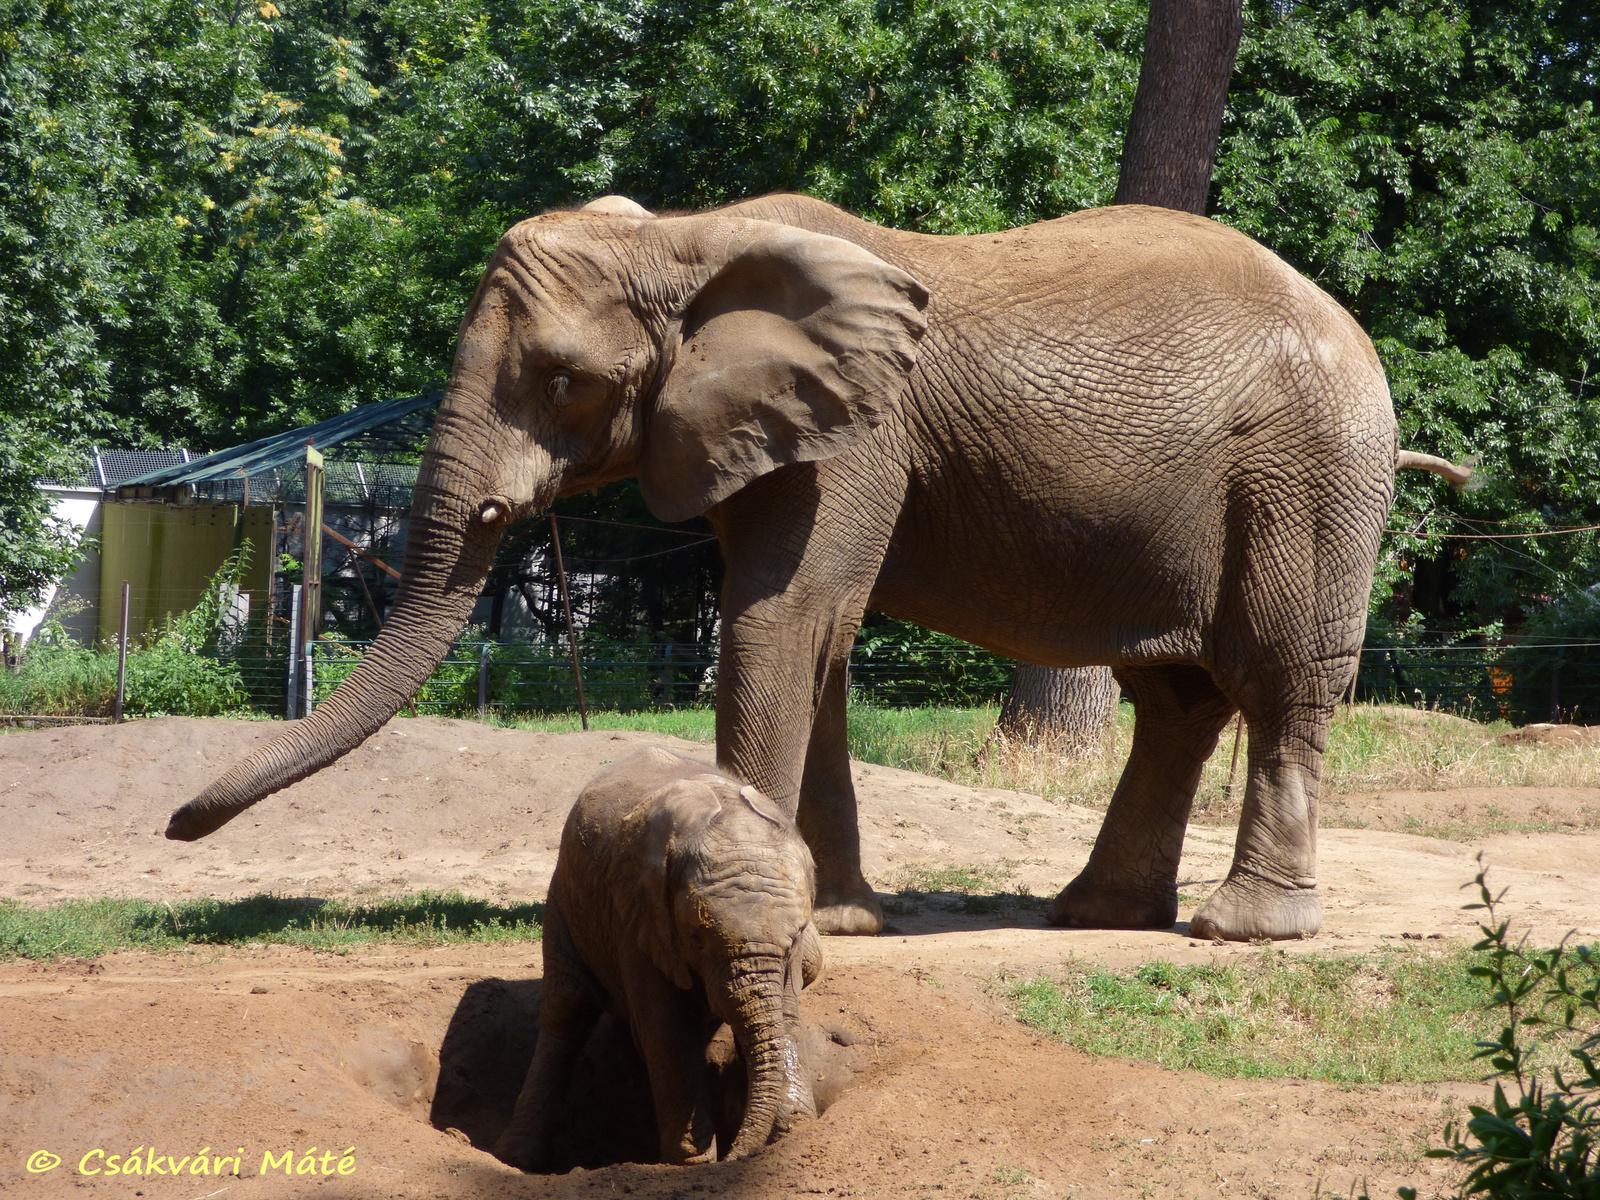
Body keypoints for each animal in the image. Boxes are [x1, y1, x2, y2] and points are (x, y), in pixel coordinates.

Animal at [168, 192, 1446, 947]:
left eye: (565, 381)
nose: (178, 827)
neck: (687, 237)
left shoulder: (858, 438)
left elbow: (781, 621)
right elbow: (813, 636)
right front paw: (836, 922)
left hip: (1307, 475)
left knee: (1276, 679)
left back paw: (1242, 932)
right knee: (1175, 699)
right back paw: (1094, 915)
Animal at [496, 748, 825, 1171]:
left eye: (795, 938)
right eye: (697, 939)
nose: (735, 1158)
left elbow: (784, 1014)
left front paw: (794, 1131)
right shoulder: (638, 917)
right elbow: (666, 1028)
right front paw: (693, 1162)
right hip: (565, 899)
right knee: (566, 1010)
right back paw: (515, 1159)